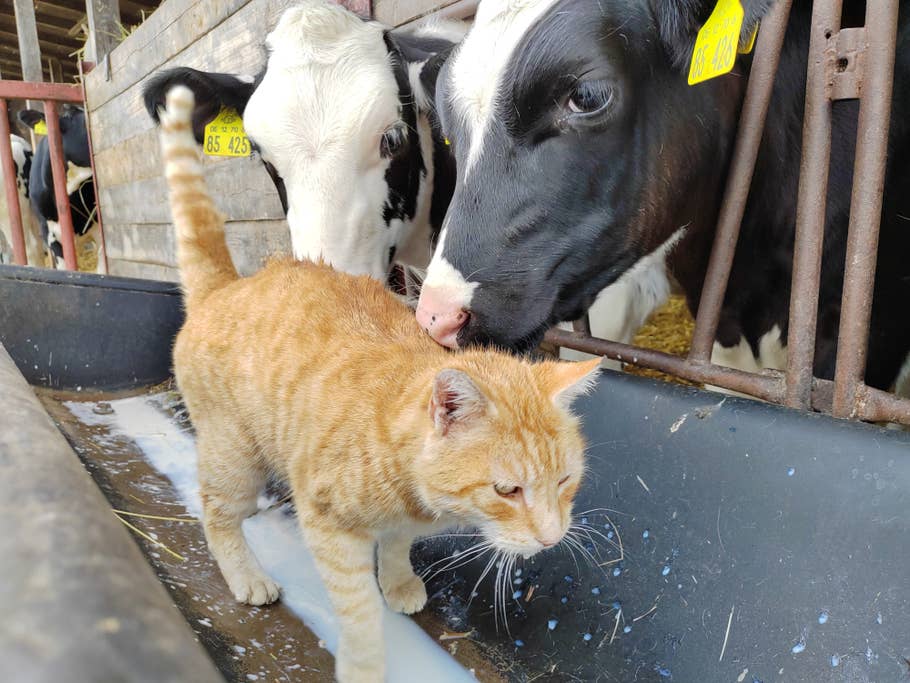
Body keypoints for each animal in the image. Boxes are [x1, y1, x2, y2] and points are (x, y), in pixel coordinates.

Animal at [160, 87, 604, 683]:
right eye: (506, 491)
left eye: (565, 480)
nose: (552, 538)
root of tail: (228, 285)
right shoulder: (328, 525)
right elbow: (359, 611)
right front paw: (365, 663)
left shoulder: (399, 525)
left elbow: (395, 549)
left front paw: (398, 583)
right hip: (235, 453)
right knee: (215, 511)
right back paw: (246, 575)